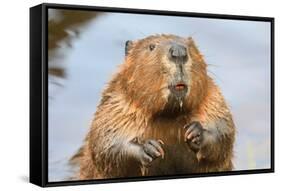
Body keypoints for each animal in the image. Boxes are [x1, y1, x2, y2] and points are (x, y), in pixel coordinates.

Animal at [71, 34, 235, 179]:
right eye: (151, 47)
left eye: (190, 46)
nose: (179, 52)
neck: (169, 116)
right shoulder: (117, 104)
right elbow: (105, 142)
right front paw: (150, 148)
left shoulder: (212, 100)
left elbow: (224, 129)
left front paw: (194, 132)